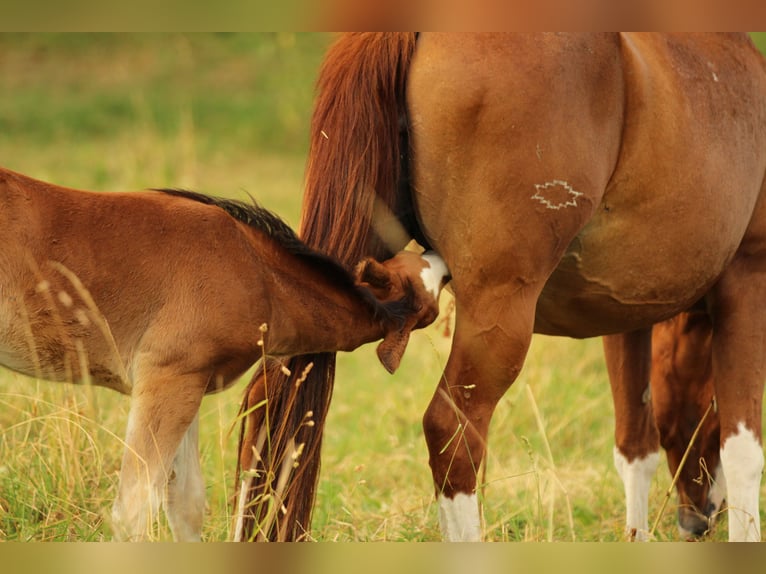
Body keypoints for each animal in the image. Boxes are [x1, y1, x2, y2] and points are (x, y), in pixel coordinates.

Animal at [0, 165, 448, 541]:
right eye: (429, 290)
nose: (441, 254)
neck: (259, 273)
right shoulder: (169, 378)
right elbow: (133, 511)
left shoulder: (188, 384)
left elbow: (186, 506)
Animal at [234, 33, 766, 542]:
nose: (695, 522)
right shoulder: (746, 281)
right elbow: (743, 449)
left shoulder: (627, 309)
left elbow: (635, 447)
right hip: (499, 313)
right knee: (454, 432)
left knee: (269, 399)